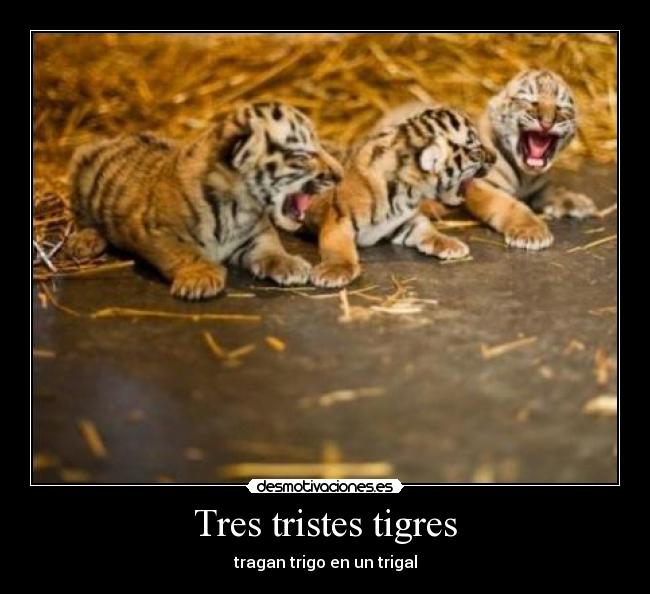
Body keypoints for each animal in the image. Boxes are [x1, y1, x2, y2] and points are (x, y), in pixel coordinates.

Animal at [65, 101, 343, 300]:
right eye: (302, 156)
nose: (340, 174)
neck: (239, 206)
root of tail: (119, 136)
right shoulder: (157, 232)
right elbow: (185, 254)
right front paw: (201, 277)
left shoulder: (257, 233)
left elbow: (271, 247)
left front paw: (289, 264)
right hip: (80, 167)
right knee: (80, 216)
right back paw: (84, 241)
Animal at [307, 105, 496, 288]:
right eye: (476, 153)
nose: (495, 158)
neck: (407, 191)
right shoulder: (338, 218)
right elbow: (337, 246)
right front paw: (334, 271)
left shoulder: (403, 221)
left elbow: (426, 228)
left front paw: (450, 244)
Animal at [454, 69, 597, 249]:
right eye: (530, 101)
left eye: (561, 107)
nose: (547, 122)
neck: (526, 175)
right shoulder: (479, 185)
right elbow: (509, 204)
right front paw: (531, 232)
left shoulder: (540, 187)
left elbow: (555, 190)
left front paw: (579, 202)